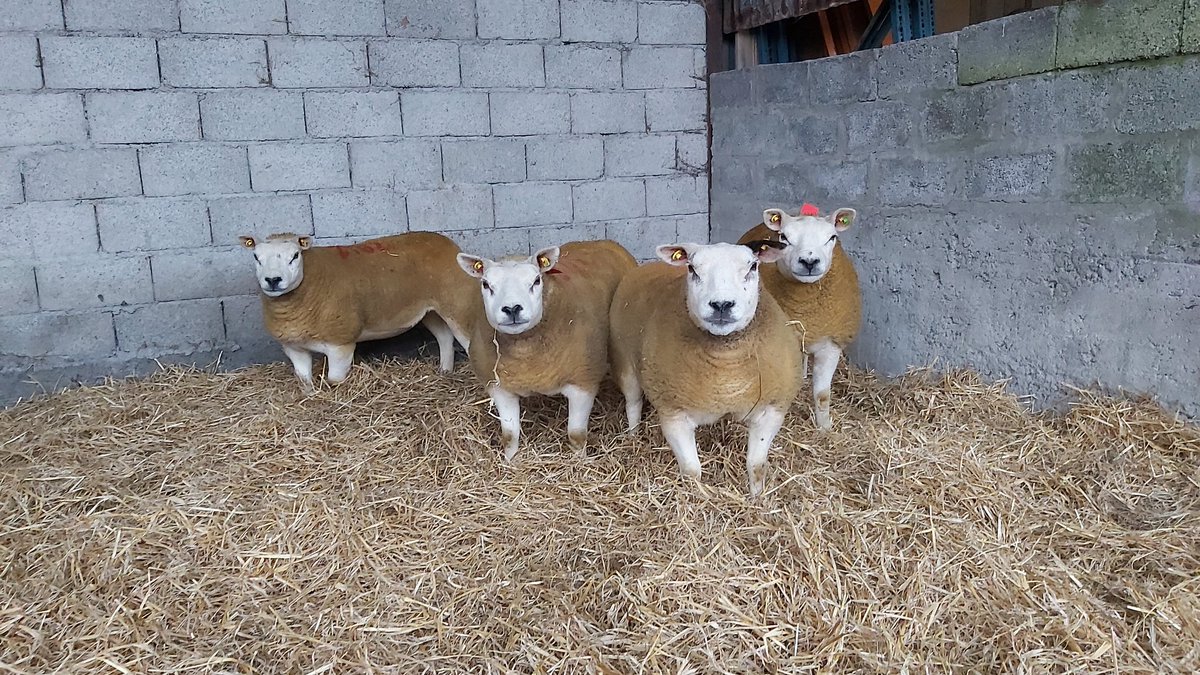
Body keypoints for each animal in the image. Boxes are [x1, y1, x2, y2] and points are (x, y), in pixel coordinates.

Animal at [240, 231, 480, 392]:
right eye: (256, 257)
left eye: (295, 256)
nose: (273, 280)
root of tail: (444, 241)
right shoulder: (293, 347)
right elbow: (304, 380)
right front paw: (311, 396)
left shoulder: (340, 344)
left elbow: (334, 380)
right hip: (431, 310)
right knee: (444, 337)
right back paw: (445, 371)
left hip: (456, 301)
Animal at [456, 240, 636, 461]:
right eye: (486, 284)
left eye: (536, 281)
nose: (512, 309)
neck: (526, 359)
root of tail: (601, 241)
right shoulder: (498, 387)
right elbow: (509, 436)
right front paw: (509, 462)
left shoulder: (583, 383)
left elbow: (576, 435)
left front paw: (580, 462)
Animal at [609, 241, 802, 497]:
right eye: (692, 269)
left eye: (752, 266)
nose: (721, 305)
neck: (727, 372)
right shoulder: (674, 414)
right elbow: (692, 470)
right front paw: (697, 497)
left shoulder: (772, 410)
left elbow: (757, 465)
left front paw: (757, 498)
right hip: (624, 362)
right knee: (633, 403)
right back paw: (633, 437)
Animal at [736, 203, 861, 430]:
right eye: (784, 237)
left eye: (832, 237)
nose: (809, 261)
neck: (806, 311)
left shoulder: (831, 345)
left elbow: (822, 395)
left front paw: (824, 428)